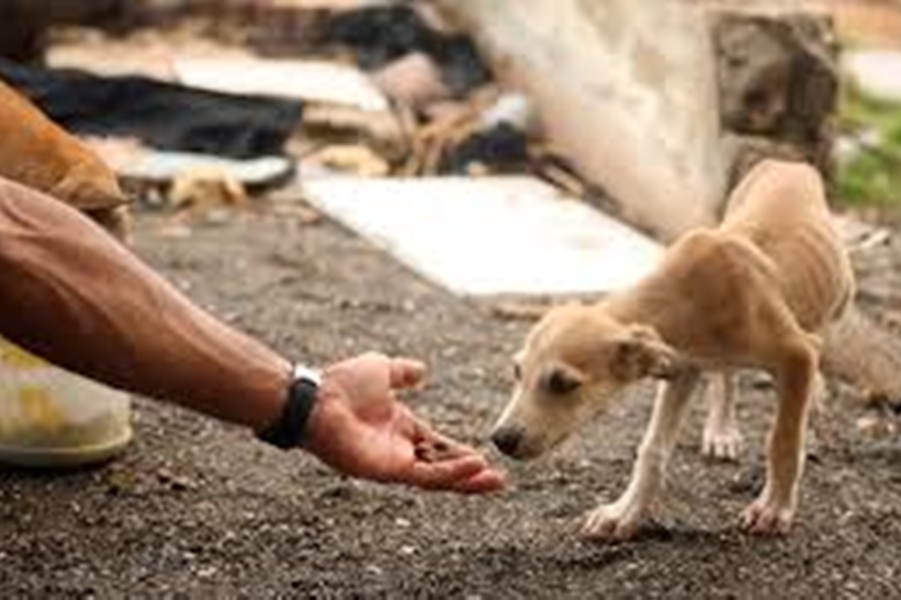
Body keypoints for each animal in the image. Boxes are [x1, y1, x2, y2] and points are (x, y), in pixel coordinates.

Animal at [492, 159, 852, 540]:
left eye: (563, 383)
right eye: (517, 371)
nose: (500, 439)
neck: (685, 295)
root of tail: (788, 162)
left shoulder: (797, 353)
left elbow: (783, 440)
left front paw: (774, 508)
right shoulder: (683, 366)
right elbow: (652, 449)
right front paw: (625, 512)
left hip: (839, 296)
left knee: (816, 341)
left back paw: (812, 398)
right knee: (727, 376)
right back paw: (722, 431)